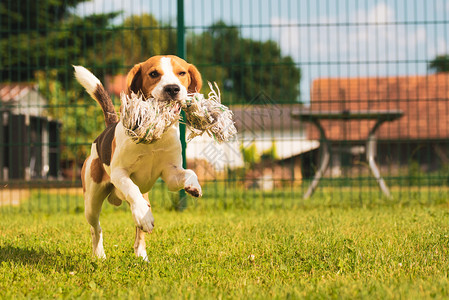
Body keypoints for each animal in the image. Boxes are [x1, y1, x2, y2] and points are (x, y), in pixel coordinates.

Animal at [75, 55, 203, 260]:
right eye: (154, 74)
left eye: (182, 73)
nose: (172, 88)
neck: (157, 135)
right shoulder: (120, 173)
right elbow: (131, 188)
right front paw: (144, 213)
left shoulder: (171, 174)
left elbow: (190, 172)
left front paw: (194, 185)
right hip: (91, 202)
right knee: (96, 228)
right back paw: (99, 254)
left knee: (139, 232)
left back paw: (141, 255)